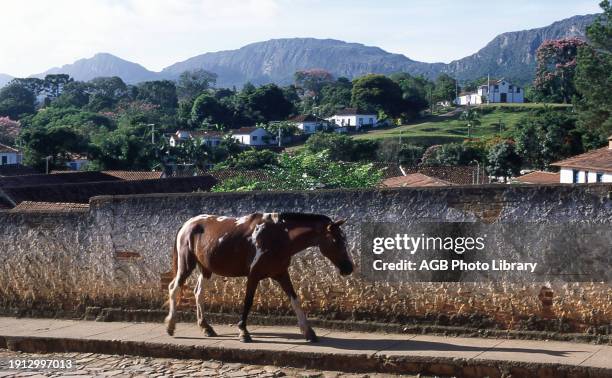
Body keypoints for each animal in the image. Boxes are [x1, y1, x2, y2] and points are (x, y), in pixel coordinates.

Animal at [164, 213, 354, 342]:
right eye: (336, 240)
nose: (349, 268)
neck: (279, 236)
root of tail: (187, 224)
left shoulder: (281, 274)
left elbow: (295, 300)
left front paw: (308, 332)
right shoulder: (253, 275)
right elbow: (248, 301)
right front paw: (243, 331)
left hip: (206, 268)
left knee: (198, 293)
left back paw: (206, 327)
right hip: (186, 265)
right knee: (174, 288)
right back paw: (171, 326)